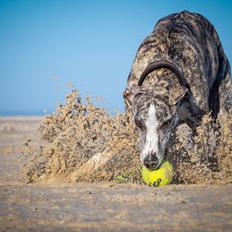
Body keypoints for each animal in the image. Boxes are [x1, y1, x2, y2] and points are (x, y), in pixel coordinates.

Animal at [124, 10, 231, 170]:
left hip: (223, 101)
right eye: (138, 123)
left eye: (166, 122)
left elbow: (204, 147)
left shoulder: (200, 120)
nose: (150, 162)